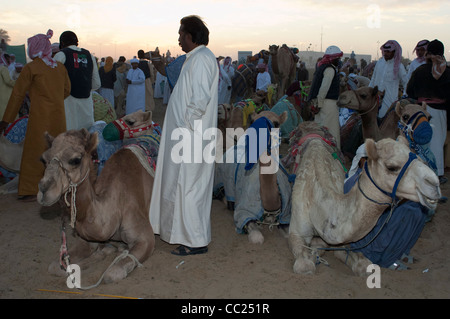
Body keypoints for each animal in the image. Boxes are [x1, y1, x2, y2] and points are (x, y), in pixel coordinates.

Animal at [36, 115, 158, 284]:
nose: (44, 191)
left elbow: (111, 274)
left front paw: (111, 251)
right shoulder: (87, 240)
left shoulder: (146, 238)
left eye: (76, 160)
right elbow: (55, 267)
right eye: (43, 159)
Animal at [288, 122, 440, 278]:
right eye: (391, 167)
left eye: (420, 159)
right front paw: (313, 254)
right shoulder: (296, 231)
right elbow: (304, 266)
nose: (434, 184)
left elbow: (363, 264)